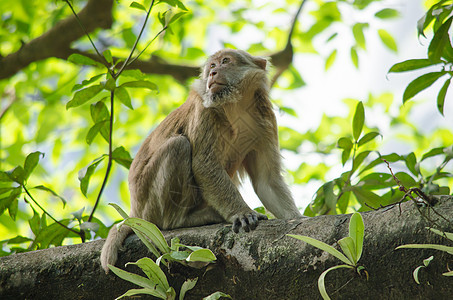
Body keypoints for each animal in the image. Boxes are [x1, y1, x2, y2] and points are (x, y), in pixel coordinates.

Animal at [100, 48, 302, 272]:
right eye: (212, 66)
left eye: (225, 61)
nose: (213, 73)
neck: (235, 106)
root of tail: (135, 211)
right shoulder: (204, 111)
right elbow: (204, 165)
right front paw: (241, 212)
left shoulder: (266, 120)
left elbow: (266, 180)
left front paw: (297, 218)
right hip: (149, 201)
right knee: (178, 145)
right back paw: (180, 220)